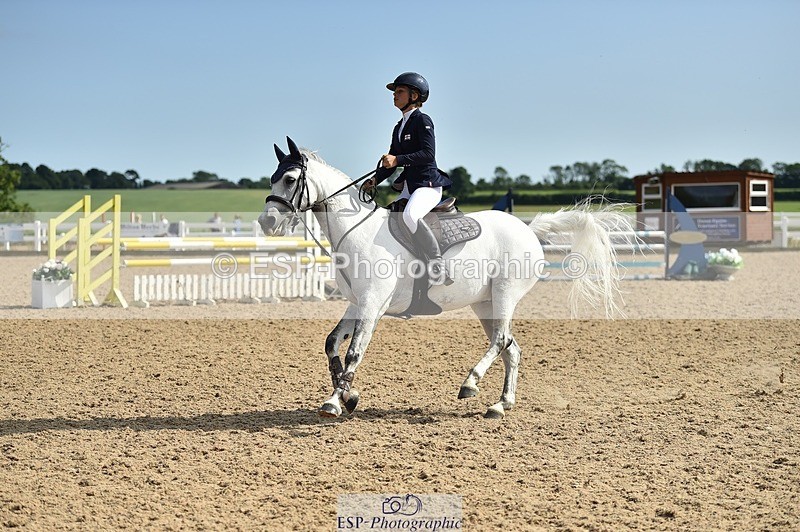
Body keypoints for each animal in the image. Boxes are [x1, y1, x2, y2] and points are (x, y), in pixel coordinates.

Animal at [259, 137, 636, 419]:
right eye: (272, 179)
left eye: (290, 180)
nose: (266, 223)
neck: (357, 231)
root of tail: (528, 229)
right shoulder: (357, 303)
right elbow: (332, 344)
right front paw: (348, 397)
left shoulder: (371, 303)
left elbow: (354, 352)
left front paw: (335, 401)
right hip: (485, 303)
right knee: (511, 348)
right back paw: (501, 404)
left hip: (505, 293)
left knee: (501, 341)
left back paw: (471, 384)